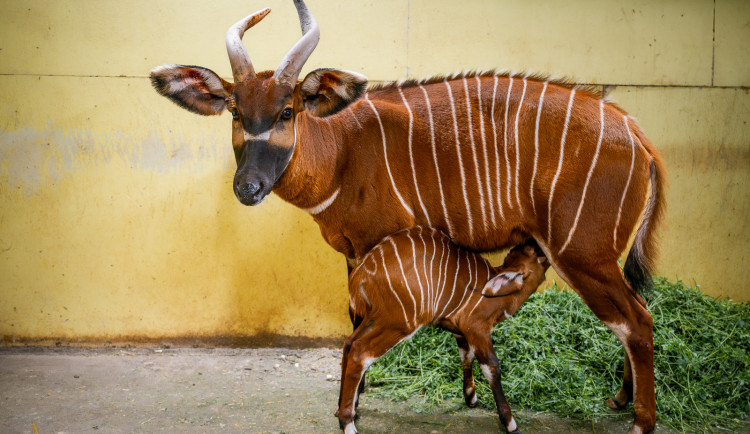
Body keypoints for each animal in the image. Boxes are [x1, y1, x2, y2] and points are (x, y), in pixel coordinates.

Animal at [340, 227, 552, 434]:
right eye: (535, 251)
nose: (537, 241)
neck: (498, 295)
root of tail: (360, 273)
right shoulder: (477, 328)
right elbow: (492, 367)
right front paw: (510, 424)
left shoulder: (460, 331)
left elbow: (466, 357)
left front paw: (470, 398)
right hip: (398, 323)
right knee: (360, 353)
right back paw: (347, 423)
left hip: (373, 319)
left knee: (349, 343)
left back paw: (343, 412)